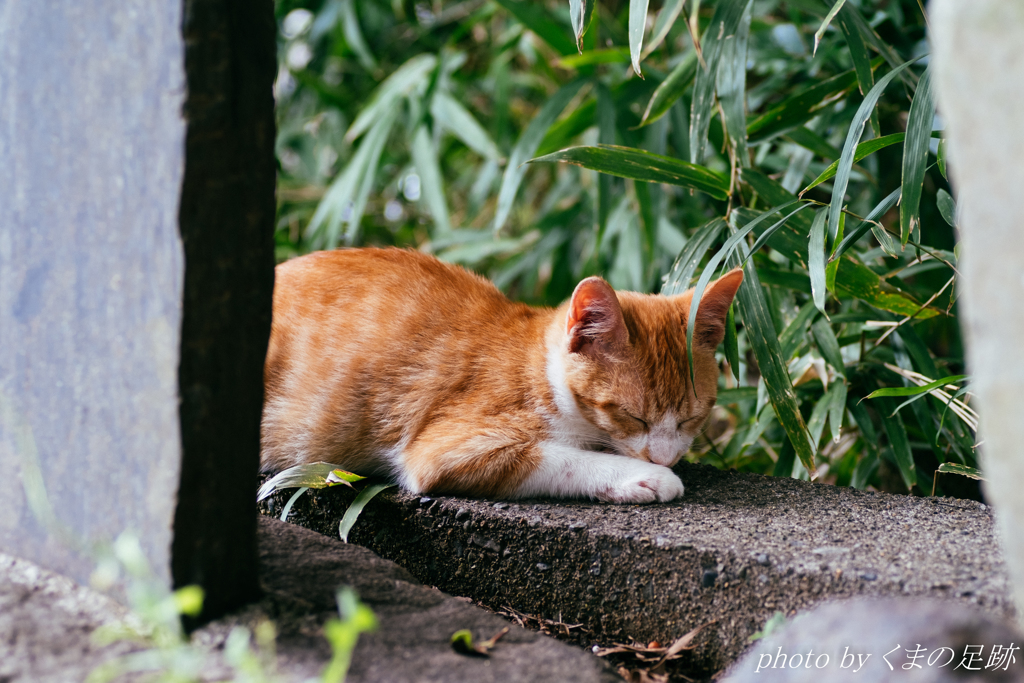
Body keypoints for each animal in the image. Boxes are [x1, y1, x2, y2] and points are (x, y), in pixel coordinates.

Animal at [262, 248, 745, 505]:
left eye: (693, 418)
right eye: (632, 416)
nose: (663, 458)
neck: (541, 372)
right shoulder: (445, 450)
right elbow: (562, 459)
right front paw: (644, 477)